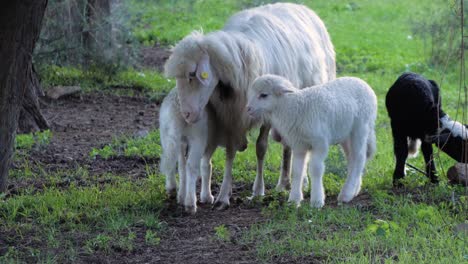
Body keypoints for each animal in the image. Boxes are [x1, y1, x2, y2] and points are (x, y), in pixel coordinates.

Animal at [165, 2, 336, 208]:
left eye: (192, 75)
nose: (186, 115)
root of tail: (300, 6)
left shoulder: (266, 113)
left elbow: (260, 148)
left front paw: (257, 190)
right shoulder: (230, 117)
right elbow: (230, 152)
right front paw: (224, 194)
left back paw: (299, 182)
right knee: (288, 144)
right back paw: (284, 182)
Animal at [245, 74, 376, 206]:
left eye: (264, 95)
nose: (248, 109)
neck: (294, 108)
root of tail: (362, 82)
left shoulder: (320, 143)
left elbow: (315, 169)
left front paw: (317, 201)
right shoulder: (299, 145)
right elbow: (297, 170)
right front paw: (294, 200)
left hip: (361, 127)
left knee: (359, 157)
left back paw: (346, 194)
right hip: (345, 133)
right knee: (351, 158)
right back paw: (354, 189)